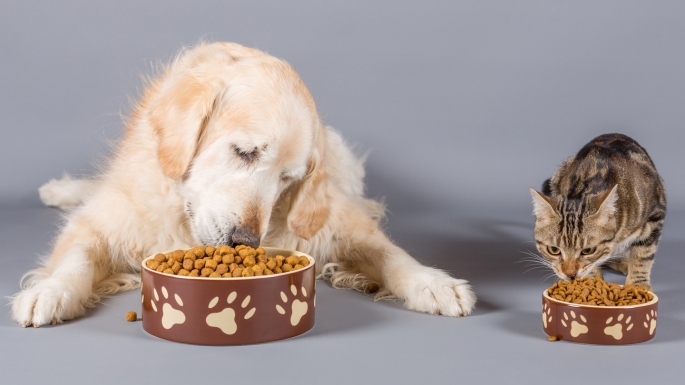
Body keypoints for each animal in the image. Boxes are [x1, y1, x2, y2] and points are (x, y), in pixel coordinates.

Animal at [10, 42, 476, 326]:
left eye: (289, 179)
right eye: (246, 151)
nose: (245, 241)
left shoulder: (337, 224)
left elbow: (389, 253)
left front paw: (434, 284)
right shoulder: (101, 224)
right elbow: (76, 259)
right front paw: (49, 292)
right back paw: (61, 189)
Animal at [528, 134, 668, 286]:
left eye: (588, 250)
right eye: (553, 250)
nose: (570, 274)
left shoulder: (655, 216)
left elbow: (643, 255)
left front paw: (638, 285)